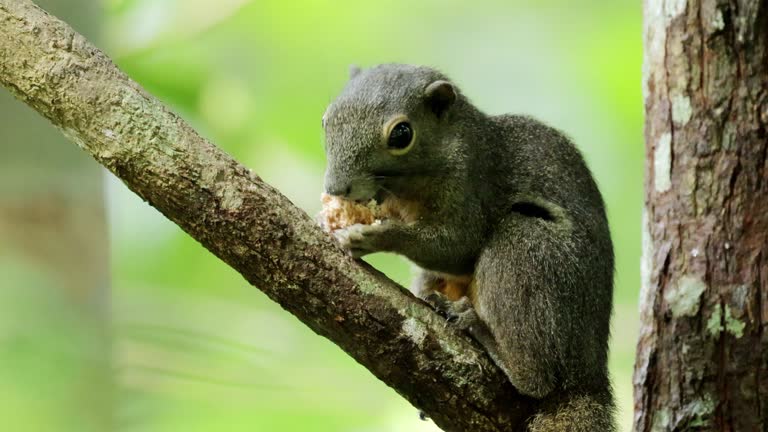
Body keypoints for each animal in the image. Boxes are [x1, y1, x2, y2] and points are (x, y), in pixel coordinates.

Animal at [320, 64, 616, 432]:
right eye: (326, 119)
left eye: (401, 135)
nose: (336, 187)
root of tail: (588, 373)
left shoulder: (473, 185)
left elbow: (458, 246)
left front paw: (374, 236)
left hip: (526, 248)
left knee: (538, 380)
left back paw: (481, 332)